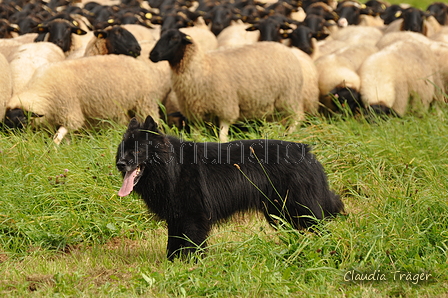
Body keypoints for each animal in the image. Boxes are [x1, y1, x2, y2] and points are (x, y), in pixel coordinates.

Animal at [6, 56, 171, 146]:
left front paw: (54, 146)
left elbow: (65, 130)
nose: (12, 142)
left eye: (22, 122)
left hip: (145, 102)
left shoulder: (69, 108)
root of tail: (141, 64)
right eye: (6, 123)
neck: (42, 90)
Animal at [115, 115, 344, 260]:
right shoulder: (177, 216)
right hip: (280, 212)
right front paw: (172, 265)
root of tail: (306, 152)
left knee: (321, 226)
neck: (173, 166)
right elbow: (173, 244)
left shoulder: (193, 217)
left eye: (138, 149)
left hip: (298, 208)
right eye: (123, 148)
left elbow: (191, 245)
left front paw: (191, 266)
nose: (120, 163)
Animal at [150, 28, 304, 142]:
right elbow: (195, 134)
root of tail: (286, 49)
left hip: (289, 96)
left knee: (297, 117)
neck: (203, 67)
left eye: (174, 39)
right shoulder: (195, 110)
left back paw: (290, 134)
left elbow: (223, 134)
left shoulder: (225, 105)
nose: (152, 55)